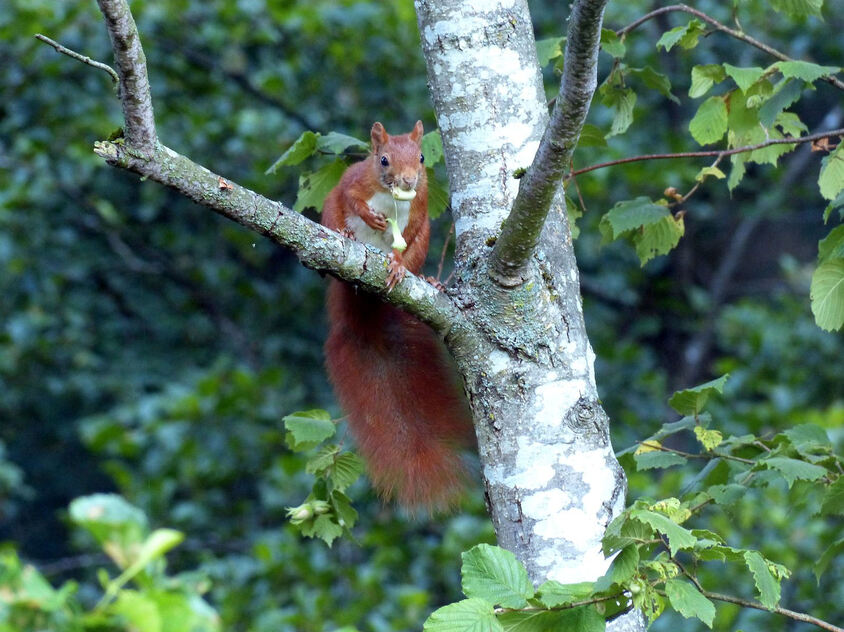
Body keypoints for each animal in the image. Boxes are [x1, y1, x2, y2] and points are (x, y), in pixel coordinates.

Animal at [320, 121, 474, 512]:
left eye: (420, 158)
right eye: (383, 159)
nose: (407, 180)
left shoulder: (420, 206)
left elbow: (411, 227)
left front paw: (397, 264)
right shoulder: (353, 181)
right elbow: (351, 196)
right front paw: (366, 216)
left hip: (423, 243)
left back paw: (424, 279)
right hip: (328, 211)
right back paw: (344, 233)